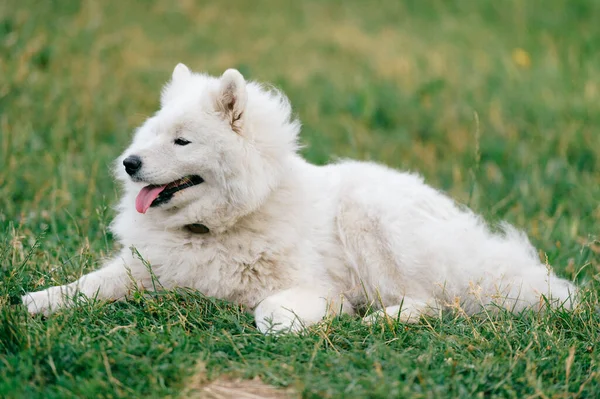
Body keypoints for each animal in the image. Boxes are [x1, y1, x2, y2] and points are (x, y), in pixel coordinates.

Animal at [22, 66, 576, 334]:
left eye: (181, 141)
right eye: (152, 134)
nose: (129, 164)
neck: (216, 228)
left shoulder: (310, 284)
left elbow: (271, 311)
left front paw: (304, 322)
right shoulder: (144, 266)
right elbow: (87, 285)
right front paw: (38, 301)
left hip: (374, 222)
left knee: (436, 301)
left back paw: (383, 318)